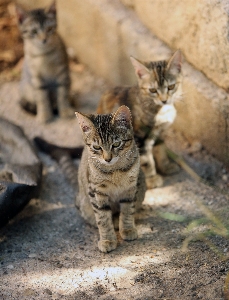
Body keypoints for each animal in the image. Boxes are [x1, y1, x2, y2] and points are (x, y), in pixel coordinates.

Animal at [35, 106, 146, 253]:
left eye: (116, 144)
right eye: (97, 147)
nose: (108, 159)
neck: (115, 170)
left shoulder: (131, 188)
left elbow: (128, 210)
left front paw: (127, 229)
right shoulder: (96, 191)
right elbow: (103, 218)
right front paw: (107, 240)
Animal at [97, 50, 183, 189]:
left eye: (171, 87)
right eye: (152, 90)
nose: (164, 100)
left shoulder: (160, 132)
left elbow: (160, 148)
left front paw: (165, 166)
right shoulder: (139, 137)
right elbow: (147, 160)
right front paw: (152, 178)